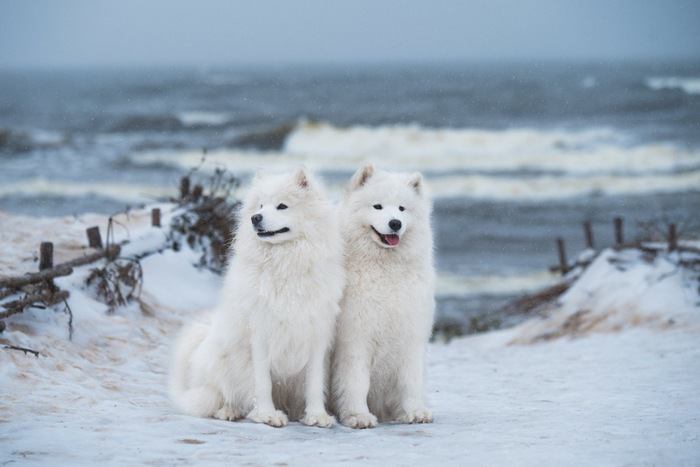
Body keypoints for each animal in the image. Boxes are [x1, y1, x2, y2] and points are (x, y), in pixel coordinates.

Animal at [170, 170, 344, 430]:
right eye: (260, 206)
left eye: (282, 206)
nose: (255, 218)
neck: (286, 261)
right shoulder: (260, 335)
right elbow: (263, 383)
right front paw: (267, 415)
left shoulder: (316, 334)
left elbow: (314, 383)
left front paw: (317, 416)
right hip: (222, 362)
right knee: (218, 395)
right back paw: (228, 411)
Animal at [330, 166, 434, 430]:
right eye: (377, 206)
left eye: (402, 208)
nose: (395, 223)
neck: (385, 270)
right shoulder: (355, 339)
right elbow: (356, 382)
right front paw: (358, 415)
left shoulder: (410, 335)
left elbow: (411, 380)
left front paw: (415, 411)